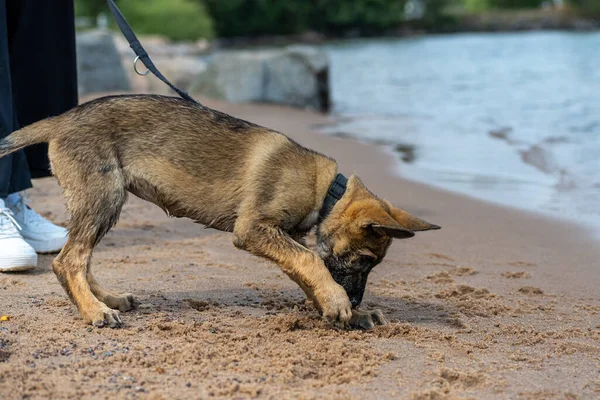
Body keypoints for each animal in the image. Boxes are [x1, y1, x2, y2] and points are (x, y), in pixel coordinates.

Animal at [0, 95, 440, 330]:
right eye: (365, 260)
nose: (356, 297)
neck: (324, 190)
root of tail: (63, 119)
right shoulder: (254, 229)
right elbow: (313, 261)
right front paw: (338, 302)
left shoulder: (280, 239)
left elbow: (306, 269)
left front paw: (344, 311)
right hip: (103, 197)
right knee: (67, 260)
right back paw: (94, 311)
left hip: (102, 203)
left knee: (81, 257)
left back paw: (106, 300)